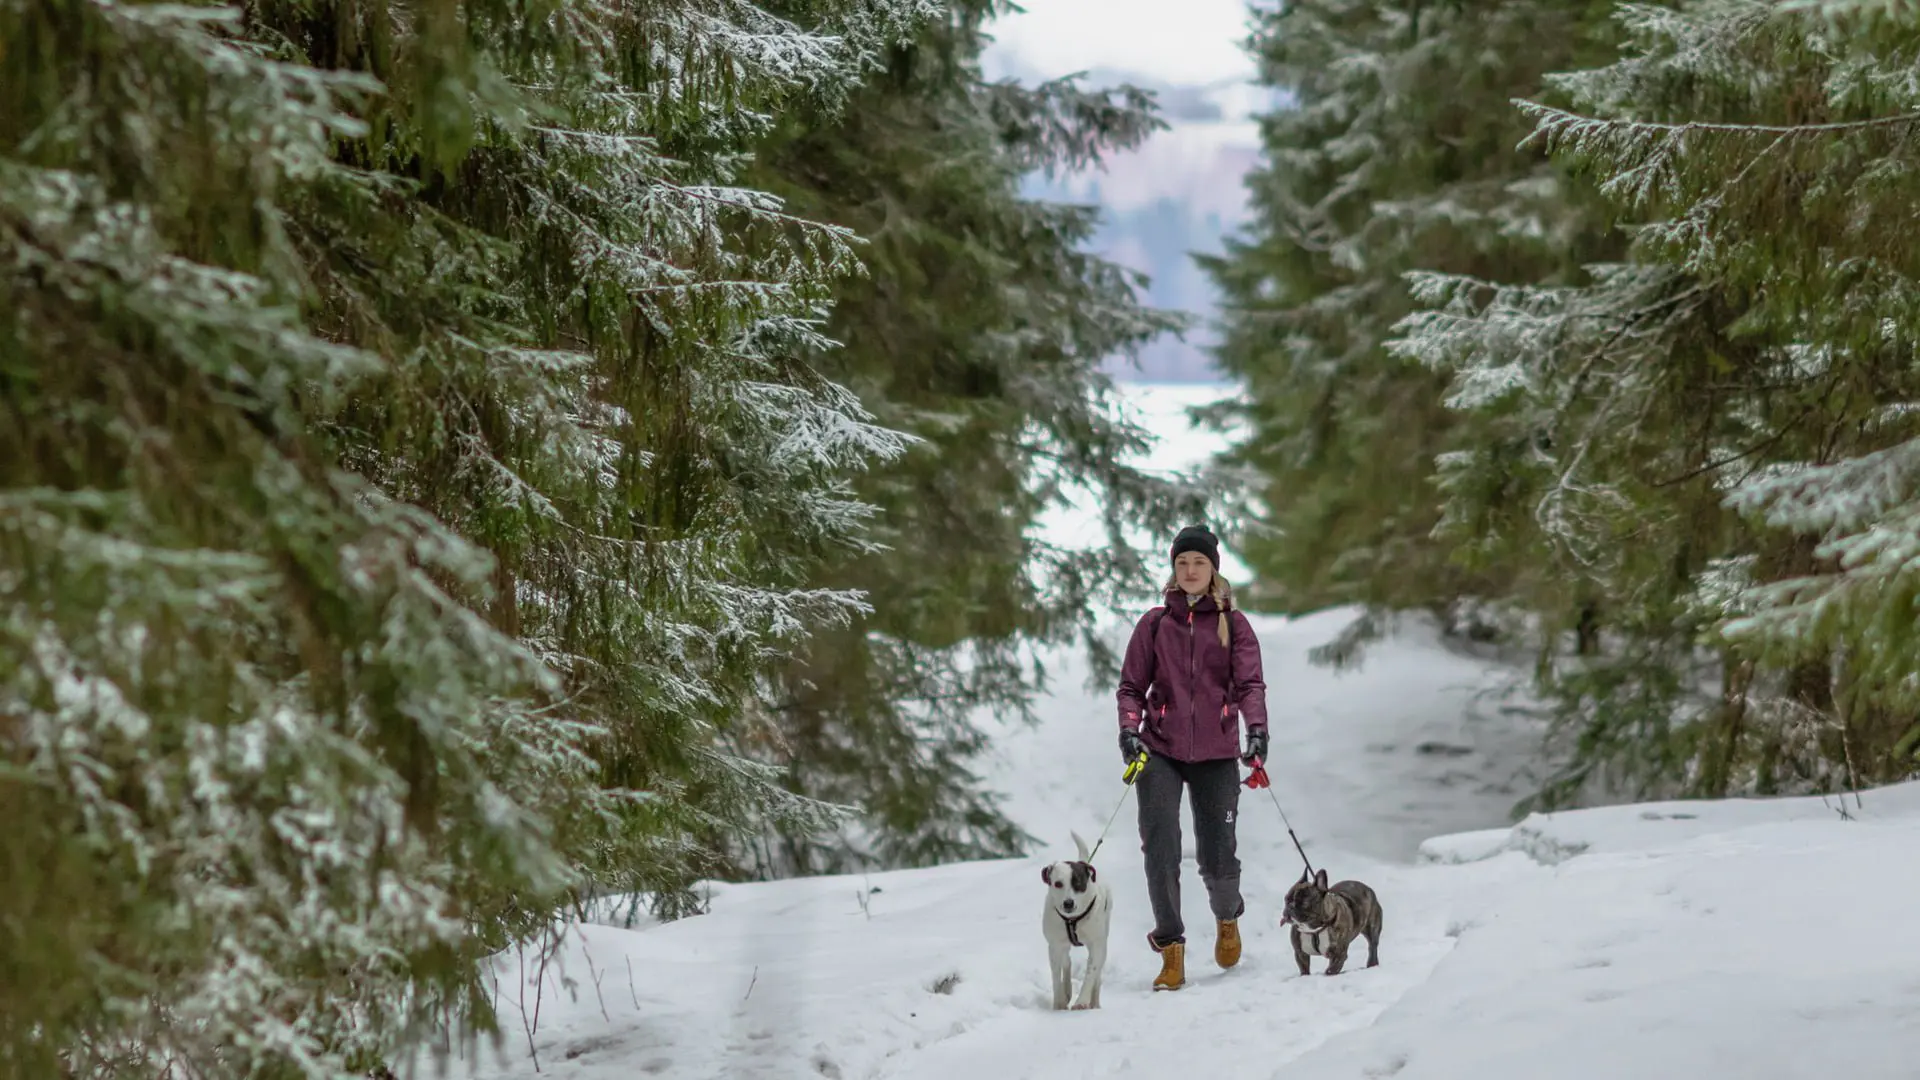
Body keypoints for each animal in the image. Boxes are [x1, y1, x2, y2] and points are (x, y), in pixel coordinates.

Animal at [1044, 826, 1121, 1006]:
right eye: (1058, 883)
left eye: (1078, 883)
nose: (1068, 903)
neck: (1073, 920)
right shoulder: (1054, 945)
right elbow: (1056, 976)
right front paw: (1059, 1002)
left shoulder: (1096, 944)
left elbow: (1091, 972)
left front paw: (1082, 1001)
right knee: (1067, 961)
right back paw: (1067, 991)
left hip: (1103, 939)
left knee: (1097, 973)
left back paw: (1094, 1002)